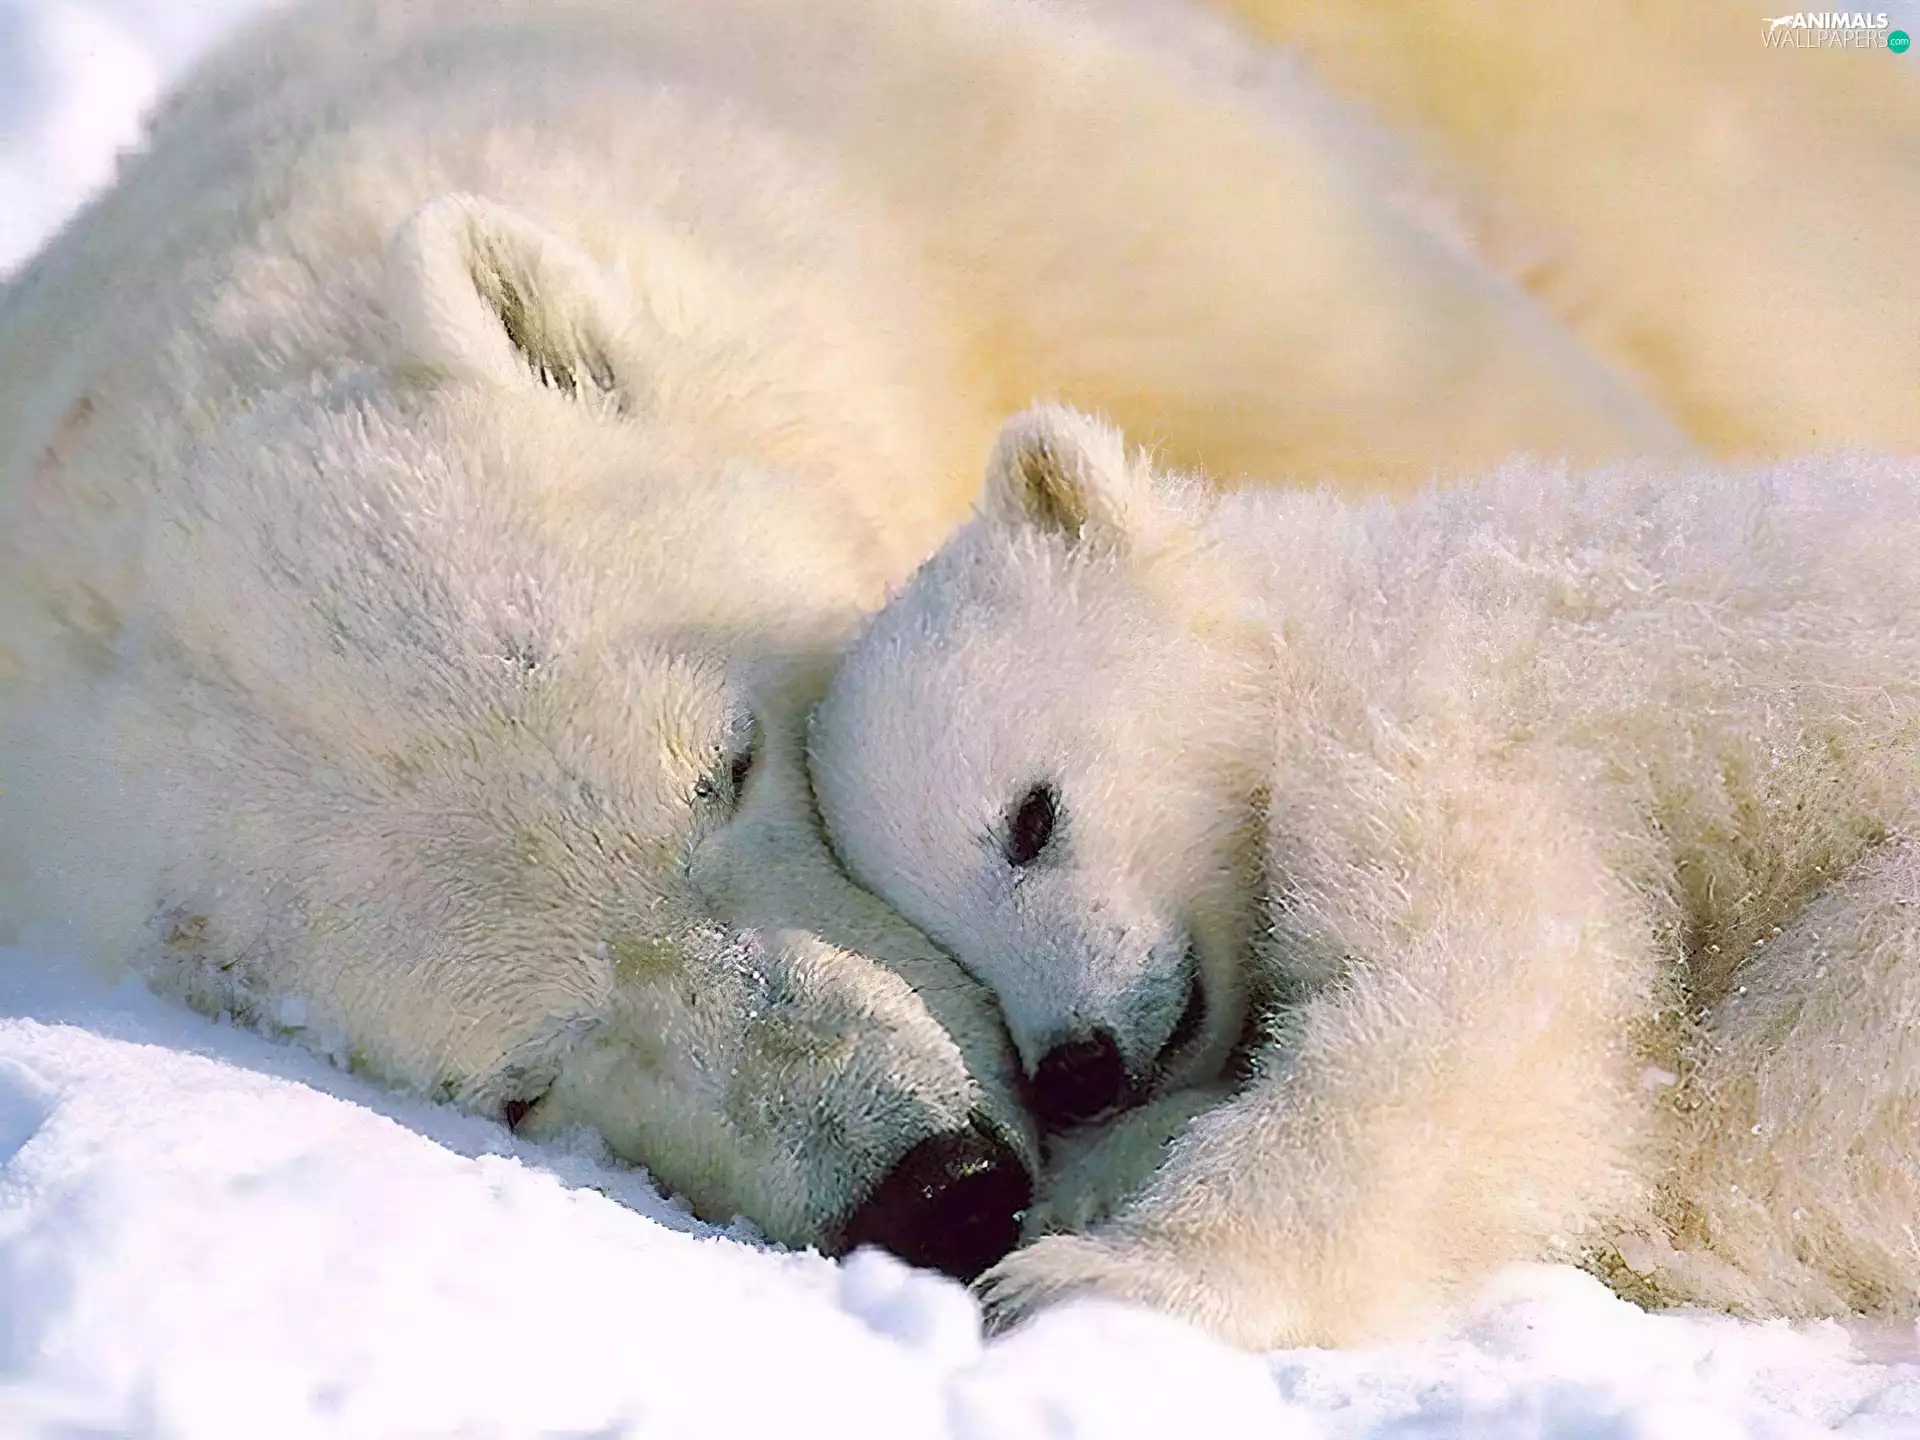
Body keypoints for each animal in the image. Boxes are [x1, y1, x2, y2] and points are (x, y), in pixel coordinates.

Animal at [809, 403, 1920, 1346]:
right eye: (949, 945)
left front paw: (1092, 1276)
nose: (1076, 1069)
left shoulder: (1435, 727)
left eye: (1030, 819)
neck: (1328, 620)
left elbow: (1475, 1011)